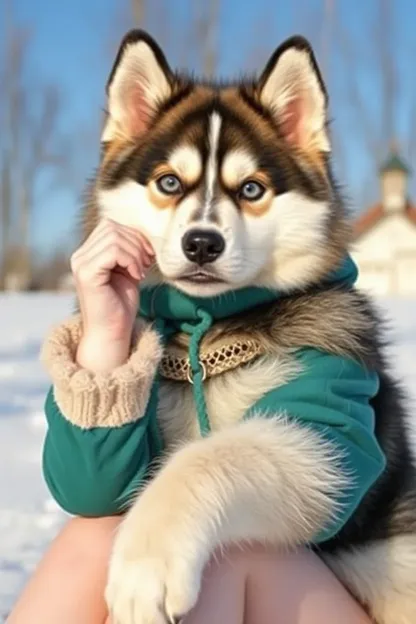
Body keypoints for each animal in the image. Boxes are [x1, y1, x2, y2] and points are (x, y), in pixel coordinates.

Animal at [83, 30, 414, 624]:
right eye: (169, 182)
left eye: (252, 190)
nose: (201, 243)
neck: (215, 331)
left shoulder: (325, 441)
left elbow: (216, 454)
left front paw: (147, 561)